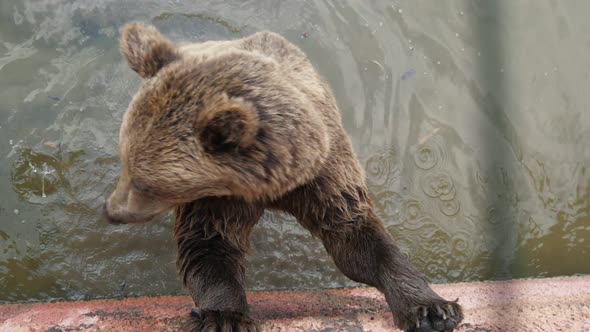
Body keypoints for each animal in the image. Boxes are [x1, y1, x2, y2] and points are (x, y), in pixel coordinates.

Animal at [104, 22, 464, 330]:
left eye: (147, 185)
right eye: (125, 161)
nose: (112, 212)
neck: (272, 186)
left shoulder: (323, 179)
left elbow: (358, 240)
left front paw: (433, 309)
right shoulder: (218, 199)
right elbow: (210, 246)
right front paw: (222, 316)